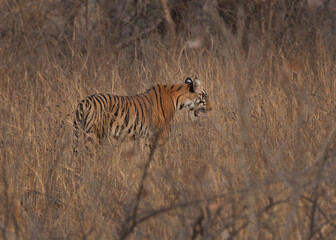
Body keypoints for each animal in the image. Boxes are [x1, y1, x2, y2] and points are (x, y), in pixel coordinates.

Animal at [73, 77, 211, 154]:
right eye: (205, 96)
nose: (211, 108)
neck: (177, 99)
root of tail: (84, 101)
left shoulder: (148, 136)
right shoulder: (163, 133)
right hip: (93, 135)